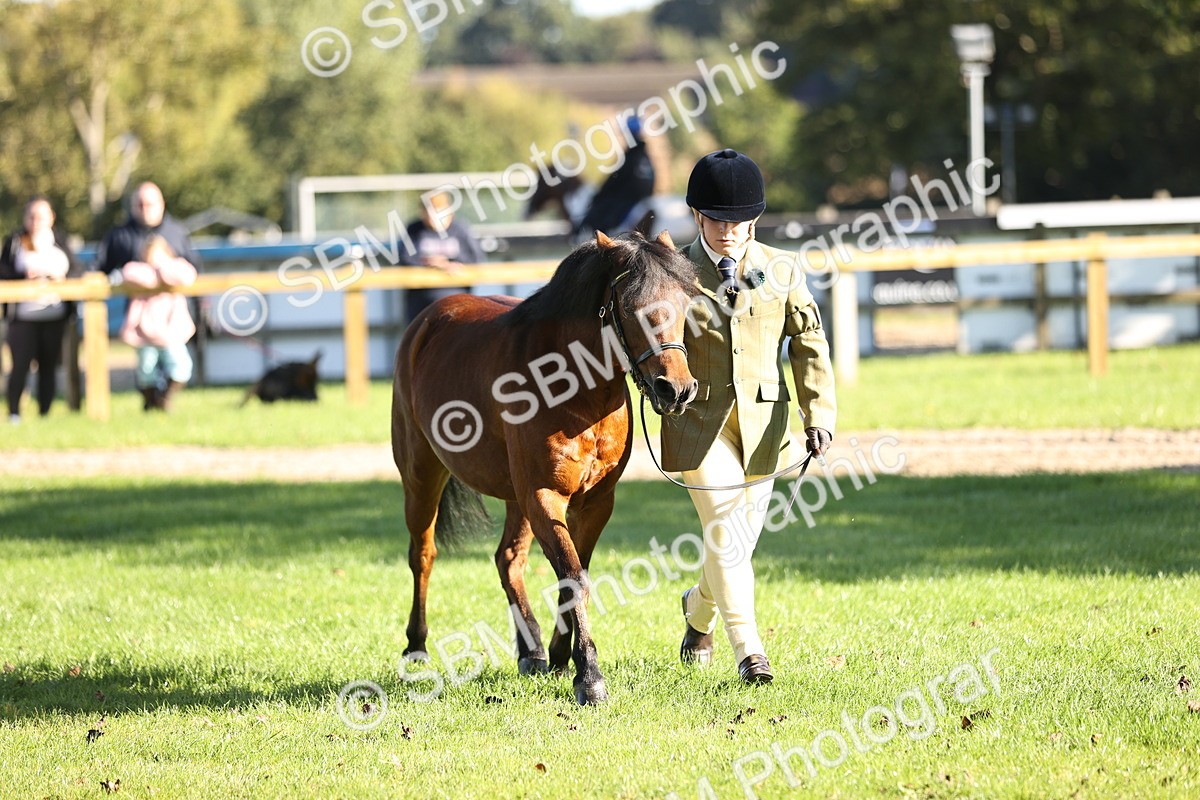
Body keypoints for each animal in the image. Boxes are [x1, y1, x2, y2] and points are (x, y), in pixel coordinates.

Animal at [391, 229, 700, 705]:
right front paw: (589, 675)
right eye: (631, 307)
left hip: (514, 497)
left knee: (508, 559)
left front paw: (560, 654)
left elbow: (576, 574)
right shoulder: (544, 496)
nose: (677, 389)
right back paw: (417, 648)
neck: (574, 389)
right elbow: (573, 577)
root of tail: (426, 320)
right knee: (423, 555)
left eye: (685, 303)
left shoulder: (595, 502)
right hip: (422, 475)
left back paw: (532, 649)